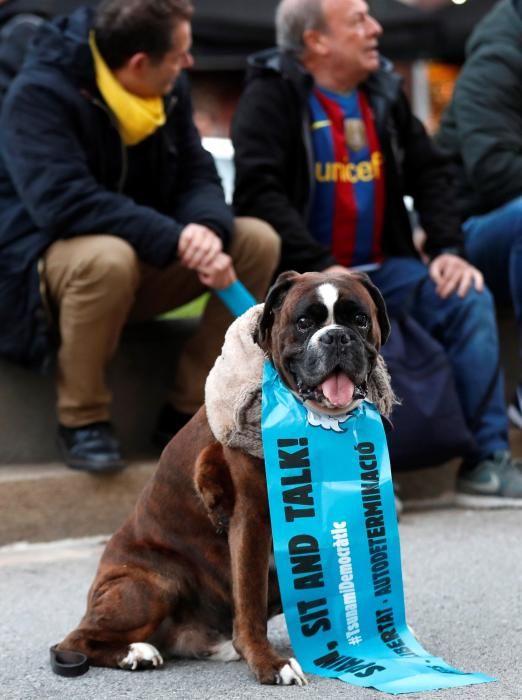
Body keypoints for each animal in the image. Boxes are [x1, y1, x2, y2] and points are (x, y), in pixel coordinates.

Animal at [54, 270, 390, 688]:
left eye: (359, 320)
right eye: (304, 323)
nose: (336, 337)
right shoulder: (251, 520)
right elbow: (249, 598)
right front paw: (268, 662)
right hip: (151, 584)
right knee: (74, 640)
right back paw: (136, 653)